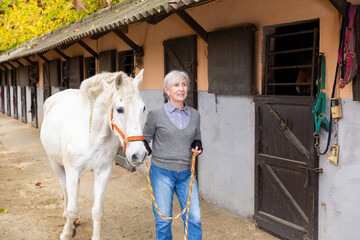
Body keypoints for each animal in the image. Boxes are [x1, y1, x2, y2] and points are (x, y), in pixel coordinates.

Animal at [39, 70, 146, 239]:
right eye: (120, 109)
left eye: (143, 108)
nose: (139, 154)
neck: (93, 134)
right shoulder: (72, 170)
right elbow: (72, 208)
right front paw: (66, 233)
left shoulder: (103, 172)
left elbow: (97, 211)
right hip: (56, 164)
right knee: (65, 189)